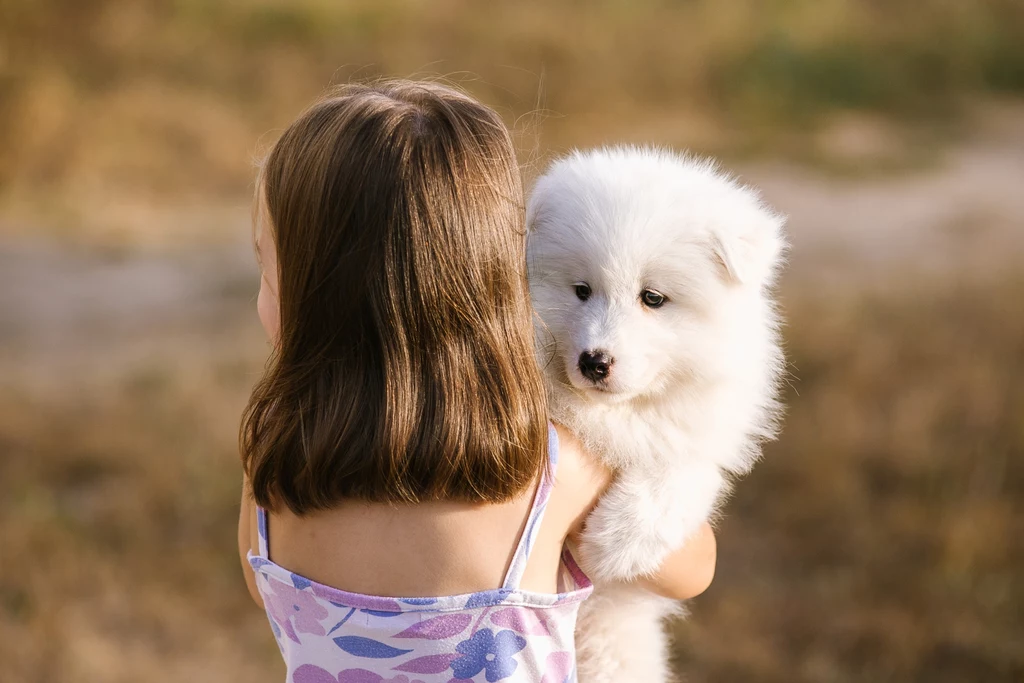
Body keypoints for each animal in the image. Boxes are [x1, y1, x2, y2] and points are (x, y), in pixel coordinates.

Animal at [524, 147, 786, 679]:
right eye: (582, 290)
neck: (617, 412)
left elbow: (684, 470)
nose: (594, 362)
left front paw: (617, 541)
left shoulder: (695, 433)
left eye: (653, 298)